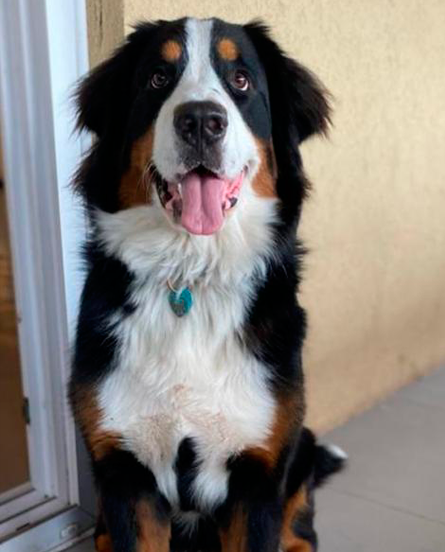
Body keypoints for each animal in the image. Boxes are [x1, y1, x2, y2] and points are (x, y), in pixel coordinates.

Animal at [70, 17, 343, 552]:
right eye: (158, 78)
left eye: (241, 80)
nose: (200, 121)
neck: (190, 276)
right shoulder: (125, 474)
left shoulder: (258, 475)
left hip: (299, 449)